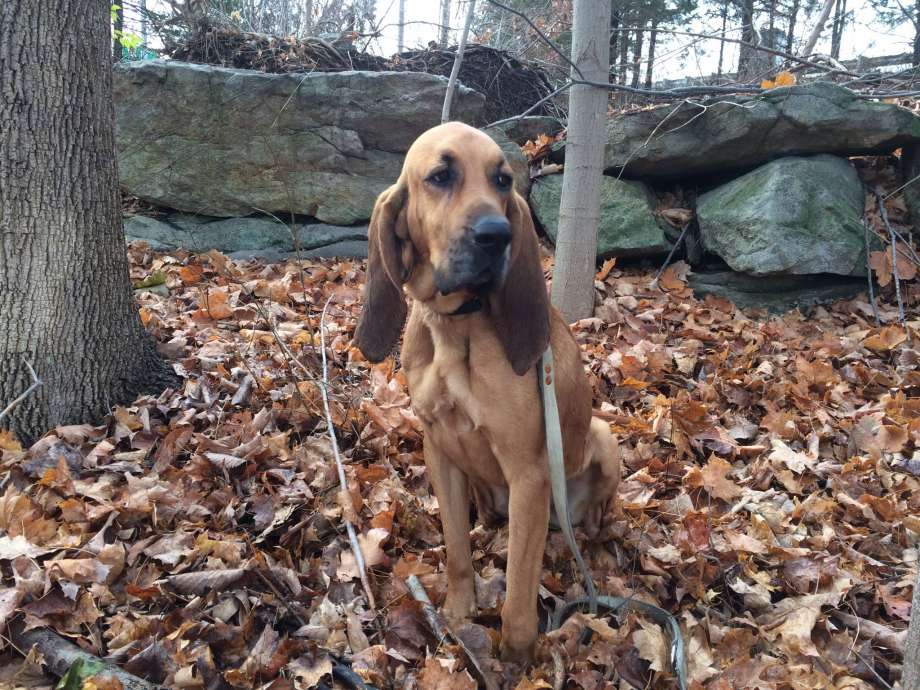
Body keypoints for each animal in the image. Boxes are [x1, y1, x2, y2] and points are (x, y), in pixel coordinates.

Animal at [356, 119, 620, 660]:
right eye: (440, 176)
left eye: (502, 180)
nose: (496, 235)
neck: (457, 326)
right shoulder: (438, 448)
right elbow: (457, 549)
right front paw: (459, 612)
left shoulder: (529, 475)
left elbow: (518, 592)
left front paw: (517, 657)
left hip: (602, 439)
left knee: (591, 519)